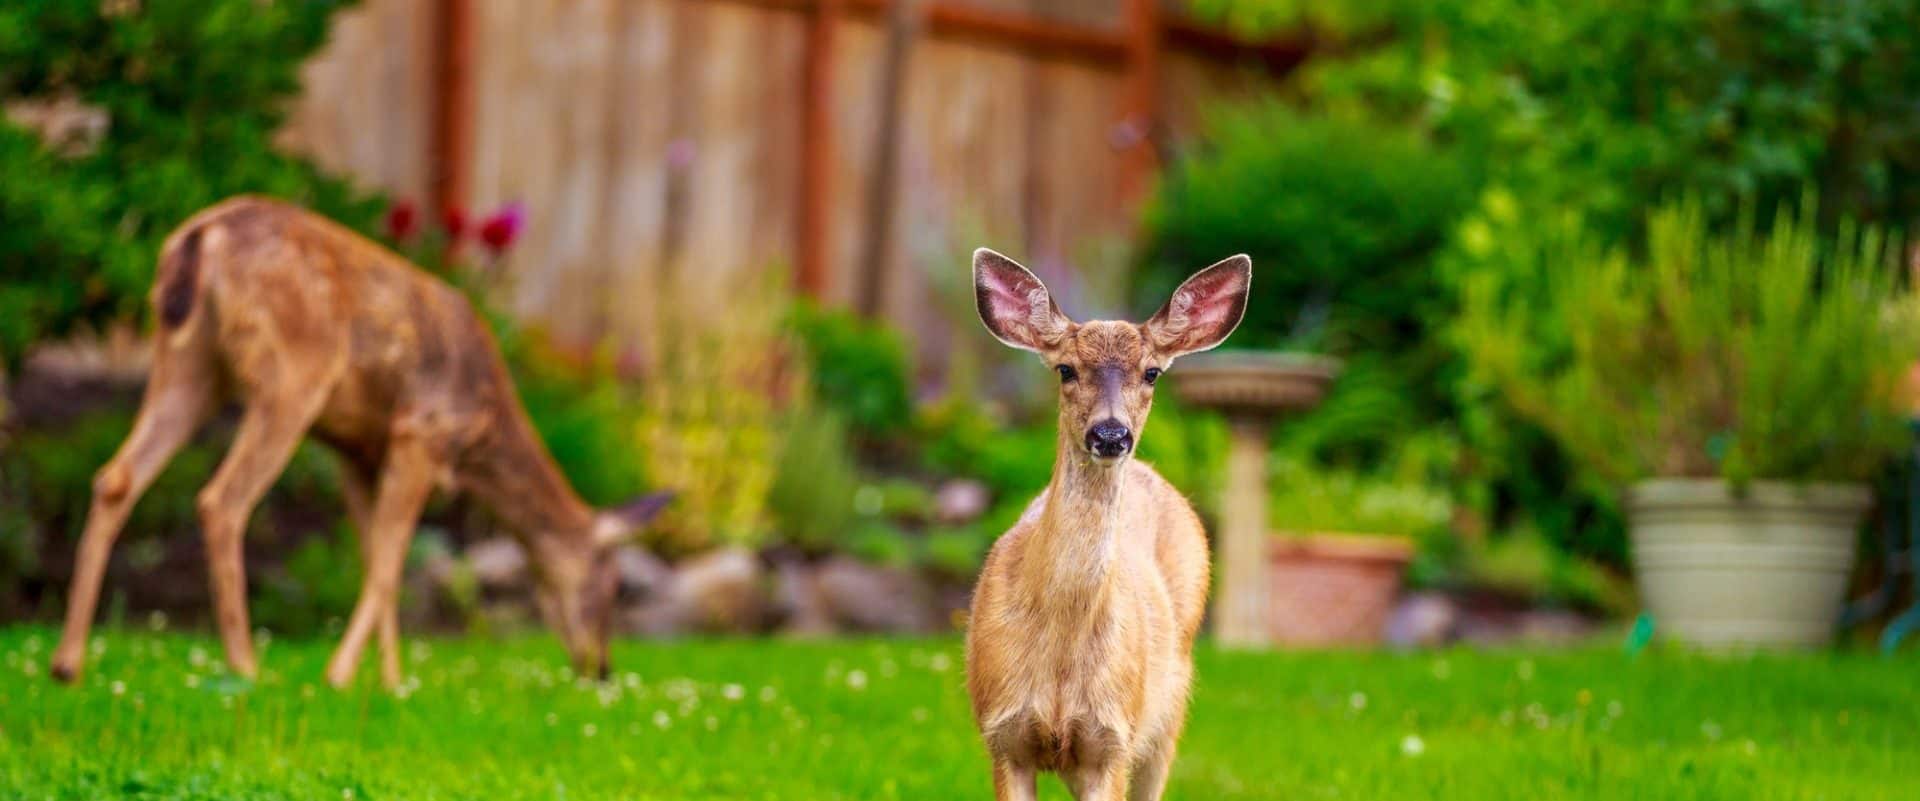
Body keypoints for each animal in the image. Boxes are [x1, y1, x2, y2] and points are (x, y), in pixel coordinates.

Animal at [47, 195, 671, 690]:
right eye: (613, 586)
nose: (601, 669)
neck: (483, 434)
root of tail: (203, 238)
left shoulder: (355, 450)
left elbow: (374, 556)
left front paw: (391, 682)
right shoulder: (420, 433)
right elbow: (391, 563)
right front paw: (344, 676)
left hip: (189, 362)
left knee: (115, 477)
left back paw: (68, 664)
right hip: (293, 373)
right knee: (222, 500)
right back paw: (246, 666)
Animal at [964, 249, 1249, 801]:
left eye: (1152, 372)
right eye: (1066, 369)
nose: (1111, 434)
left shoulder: (1111, 740)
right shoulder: (1002, 735)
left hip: (1168, 704)